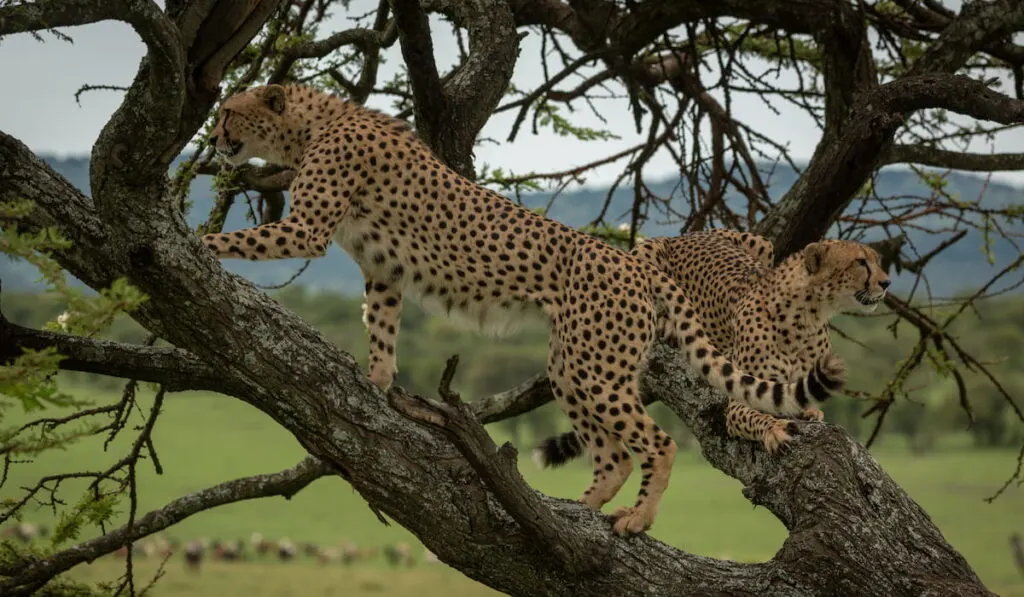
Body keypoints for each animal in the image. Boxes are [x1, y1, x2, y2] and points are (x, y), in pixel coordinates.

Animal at [203, 85, 843, 536]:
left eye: (229, 112)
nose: (211, 140)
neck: (316, 122)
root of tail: (637, 261)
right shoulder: (383, 269)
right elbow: (381, 326)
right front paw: (379, 382)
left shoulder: (308, 230)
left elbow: (239, 242)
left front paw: (191, 240)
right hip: (574, 365)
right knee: (612, 455)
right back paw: (567, 514)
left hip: (595, 367)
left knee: (657, 443)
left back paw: (634, 519)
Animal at [536, 230, 888, 462]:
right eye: (861, 262)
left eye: (877, 261)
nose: (886, 282)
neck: (808, 316)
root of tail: (689, 234)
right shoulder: (743, 399)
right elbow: (757, 416)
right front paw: (774, 429)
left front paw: (810, 411)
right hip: (646, 253)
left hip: (761, 243)